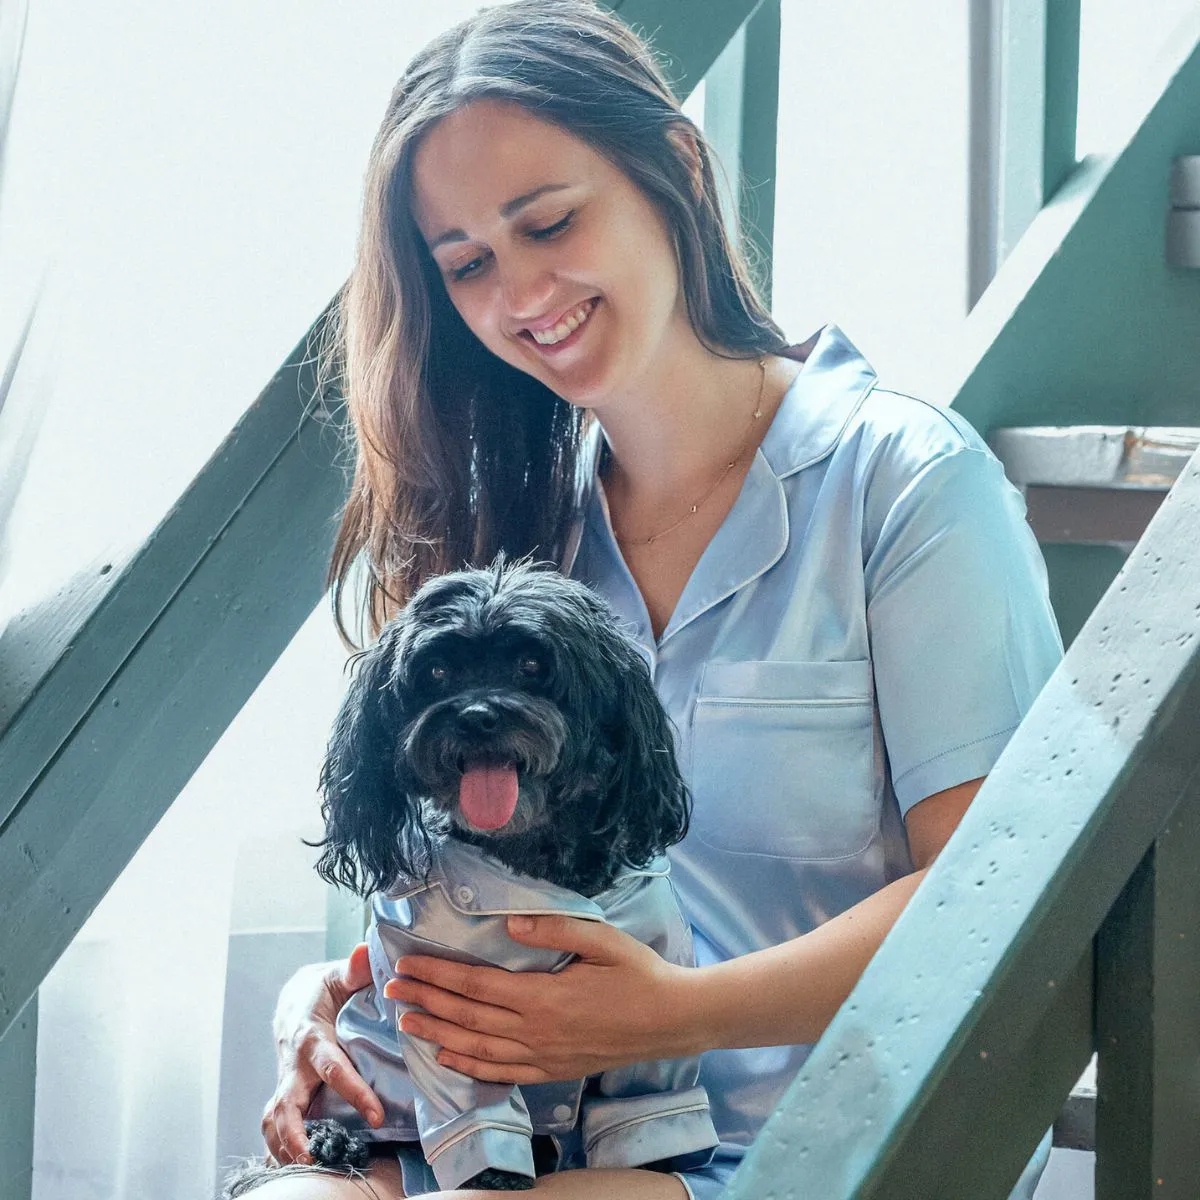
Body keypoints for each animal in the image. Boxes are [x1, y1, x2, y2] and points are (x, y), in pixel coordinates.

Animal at [225, 556, 696, 1195]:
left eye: (532, 665)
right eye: (438, 671)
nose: (475, 716)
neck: (532, 864)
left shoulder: (652, 989)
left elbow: (646, 1092)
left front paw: (660, 1162)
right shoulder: (437, 1008)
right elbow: (476, 1105)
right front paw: (495, 1173)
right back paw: (333, 1138)